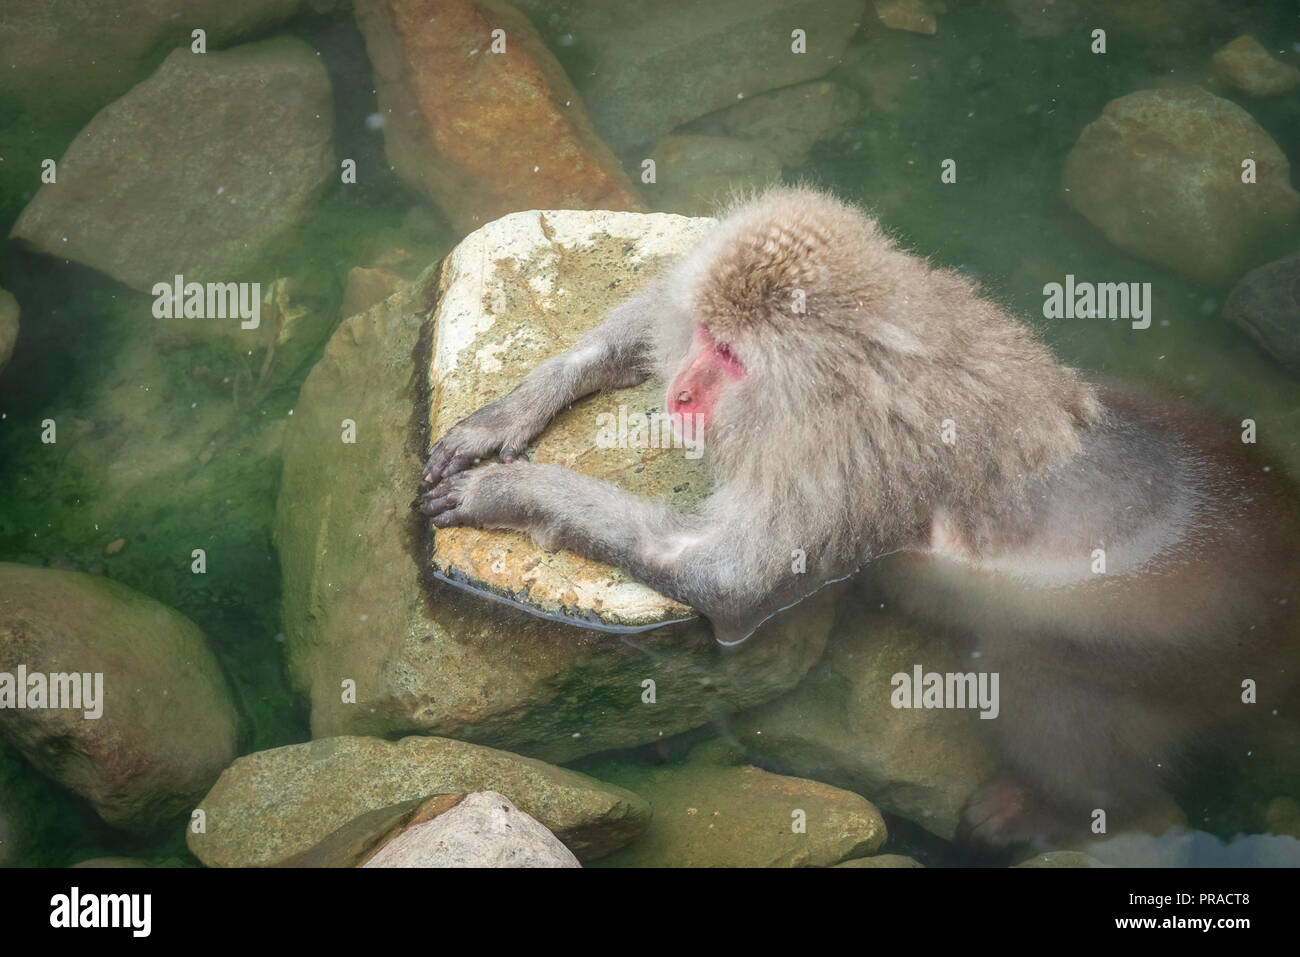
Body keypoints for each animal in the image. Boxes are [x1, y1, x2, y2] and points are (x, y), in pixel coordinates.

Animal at [419, 186, 1300, 853]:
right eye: (705, 334)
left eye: (732, 358)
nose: (681, 391)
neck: (852, 368)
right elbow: (645, 317)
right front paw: (509, 414)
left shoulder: (828, 470)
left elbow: (728, 579)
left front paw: (512, 492)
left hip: (1169, 652)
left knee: (1042, 686)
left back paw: (1050, 809)